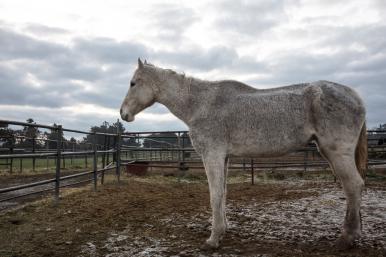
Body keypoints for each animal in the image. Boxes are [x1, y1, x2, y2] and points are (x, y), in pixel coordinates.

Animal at [120, 59, 368, 248]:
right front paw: (223, 230)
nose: (123, 113)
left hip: (337, 154)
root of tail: (355, 95)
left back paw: (346, 238)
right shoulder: (224, 158)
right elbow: (223, 194)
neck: (200, 104)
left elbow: (215, 195)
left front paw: (213, 239)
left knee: (353, 186)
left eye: (133, 83)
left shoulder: (212, 156)